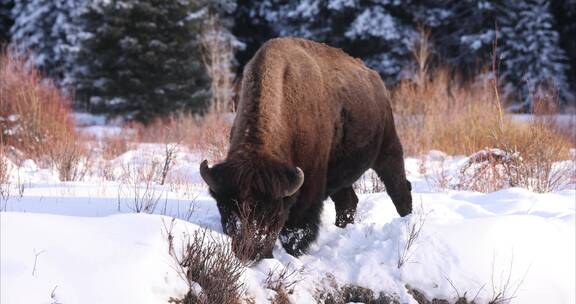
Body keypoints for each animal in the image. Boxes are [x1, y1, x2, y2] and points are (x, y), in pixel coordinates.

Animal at [200, 37, 412, 262]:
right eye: (226, 209)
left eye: (273, 214)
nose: (251, 254)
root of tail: (376, 81)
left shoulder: (309, 184)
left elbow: (297, 227)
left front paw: (294, 252)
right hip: (340, 173)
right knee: (348, 201)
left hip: (388, 150)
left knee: (399, 189)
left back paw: (407, 221)